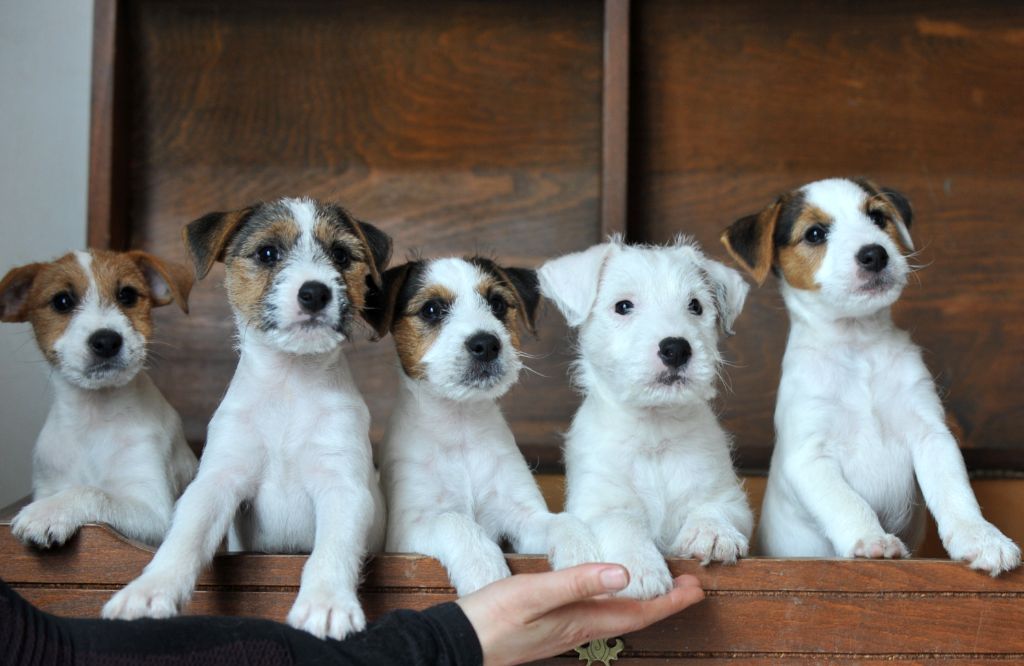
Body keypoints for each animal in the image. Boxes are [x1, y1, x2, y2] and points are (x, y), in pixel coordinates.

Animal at [0, 248, 197, 545]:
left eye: (127, 295)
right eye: (62, 301)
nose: (106, 341)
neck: (94, 417)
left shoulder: (154, 512)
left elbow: (92, 491)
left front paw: (48, 512)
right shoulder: (49, 483)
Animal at [103, 196, 389, 639]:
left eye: (341, 255)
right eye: (267, 253)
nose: (315, 292)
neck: (290, 383)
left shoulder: (343, 486)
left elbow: (332, 549)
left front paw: (326, 602)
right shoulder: (217, 481)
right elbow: (185, 536)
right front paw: (150, 590)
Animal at [364, 257, 598, 594]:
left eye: (497, 304)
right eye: (431, 309)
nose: (486, 344)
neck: (460, 426)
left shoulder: (523, 516)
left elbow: (560, 520)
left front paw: (581, 551)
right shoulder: (407, 532)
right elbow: (453, 522)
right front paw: (485, 571)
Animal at [536, 237, 753, 598]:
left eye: (695, 306)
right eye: (623, 306)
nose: (676, 348)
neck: (654, 431)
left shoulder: (728, 497)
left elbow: (713, 507)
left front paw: (712, 533)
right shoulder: (597, 503)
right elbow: (621, 522)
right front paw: (639, 568)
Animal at [724, 177, 1019, 573]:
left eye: (878, 217)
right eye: (815, 233)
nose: (875, 254)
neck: (858, 347)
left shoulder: (932, 435)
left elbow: (956, 494)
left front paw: (982, 538)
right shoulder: (808, 455)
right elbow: (847, 502)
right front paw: (871, 540)